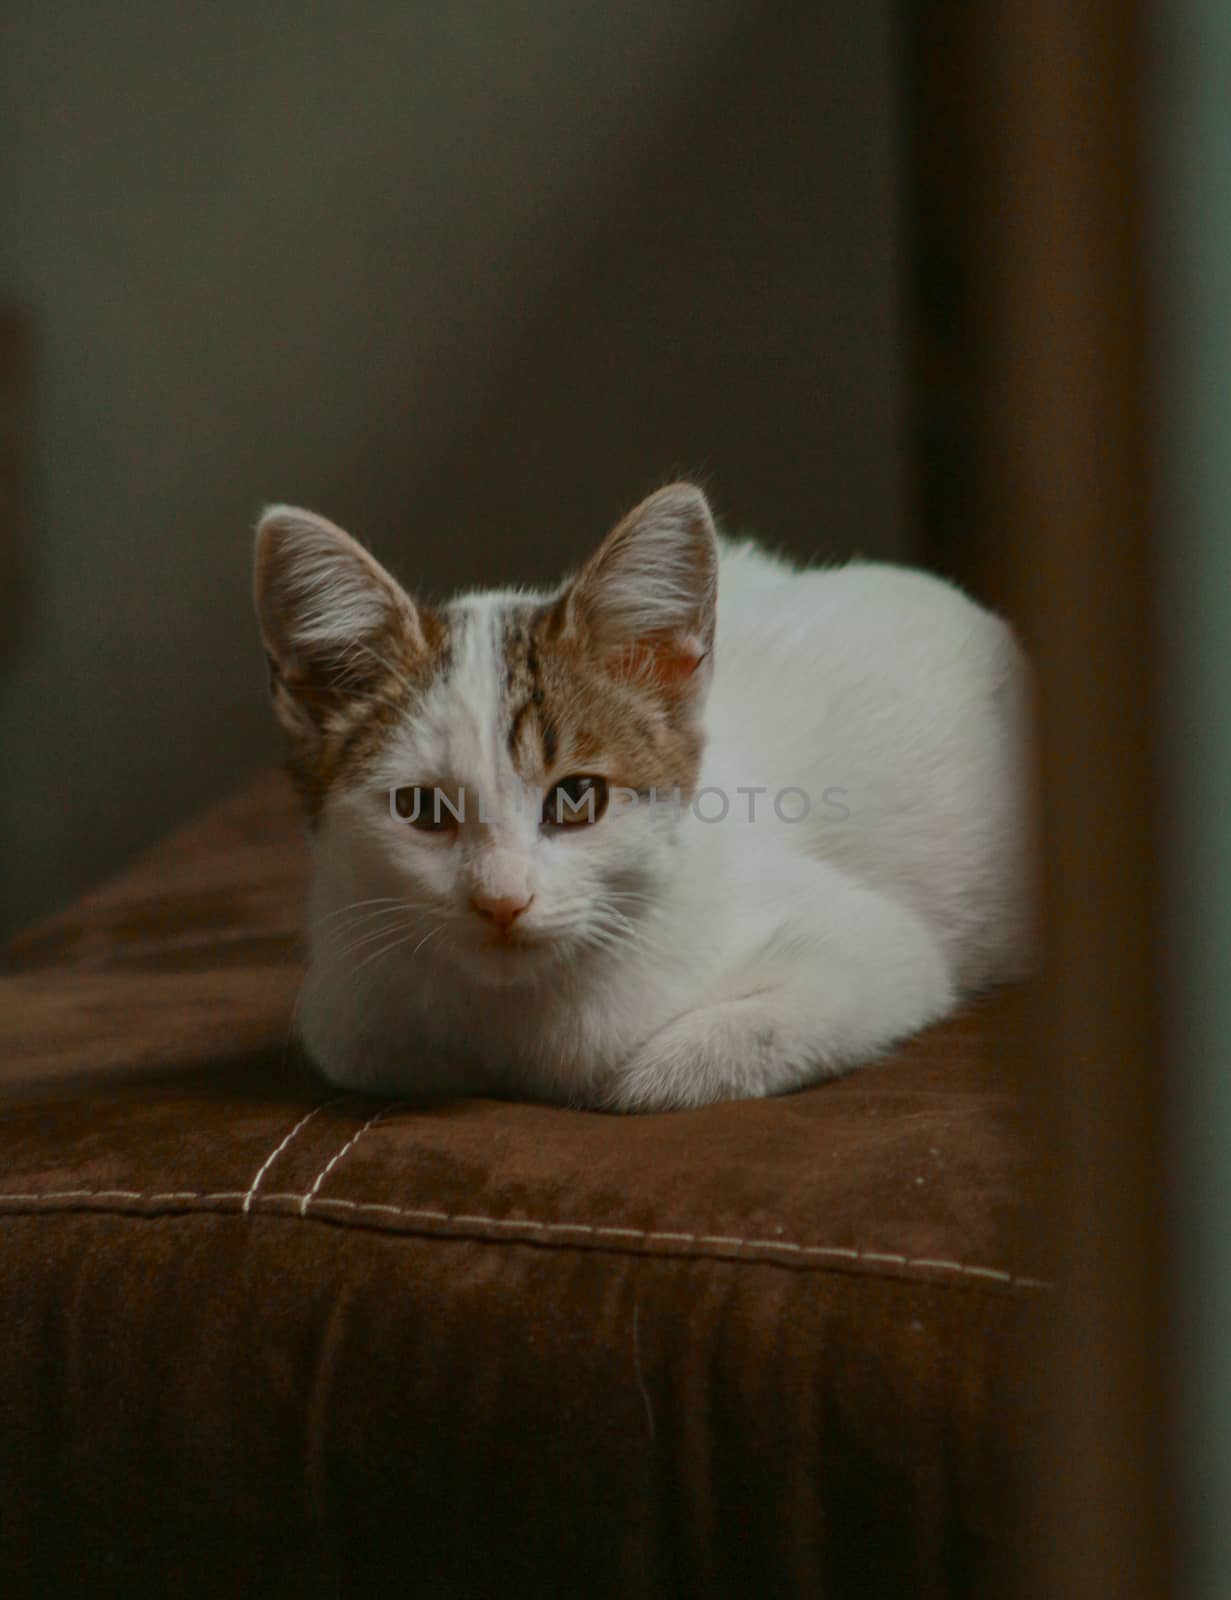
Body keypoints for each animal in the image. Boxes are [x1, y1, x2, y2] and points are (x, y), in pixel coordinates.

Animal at [254, 483, 1030, 1113]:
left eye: (577, 799)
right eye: (422, 810)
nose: (502, 902)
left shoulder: (876, 954)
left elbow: (675, 1066)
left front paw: (629, 1073)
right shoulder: (346, 995)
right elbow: (362, 1049)